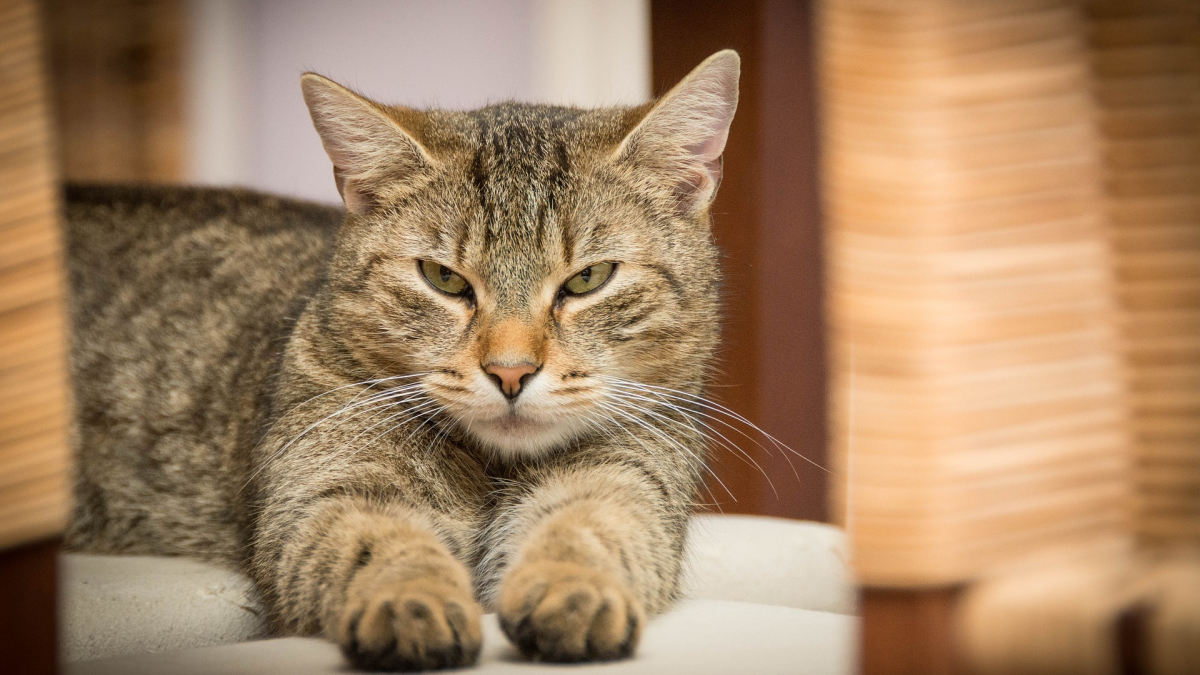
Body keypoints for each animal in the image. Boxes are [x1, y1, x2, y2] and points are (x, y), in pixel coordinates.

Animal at [65, 48, 739, 667]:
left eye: (587, 279)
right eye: (444, 278)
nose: (511, 371)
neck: (491, 468)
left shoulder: (630, 477)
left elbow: (589, 527)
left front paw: (574, 589)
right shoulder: (329, 488)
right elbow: (381, 541)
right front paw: (411, 602)